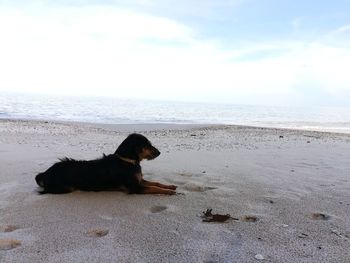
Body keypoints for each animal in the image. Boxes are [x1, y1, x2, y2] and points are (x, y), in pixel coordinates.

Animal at [35, 135, 176, 195]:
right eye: (146, 144)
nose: (159, 152)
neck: (127, 161)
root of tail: (45, 173)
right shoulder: (134, 187)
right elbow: (154, 188)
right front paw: (168, 191)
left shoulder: (139, 180)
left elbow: (156, 183)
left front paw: (170, 186)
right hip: (66, 187)